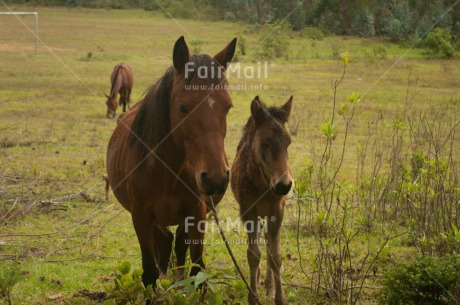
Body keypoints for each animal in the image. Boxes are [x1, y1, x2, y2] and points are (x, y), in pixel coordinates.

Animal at [107, 35, 237, 294]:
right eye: (182, 107)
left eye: (228, 106)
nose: (215, 178)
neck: (164, 172)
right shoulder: (141, 218)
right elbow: (149, 273)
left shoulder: (197, 213)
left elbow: (198, 272)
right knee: (166, 244)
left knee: (176, 245)